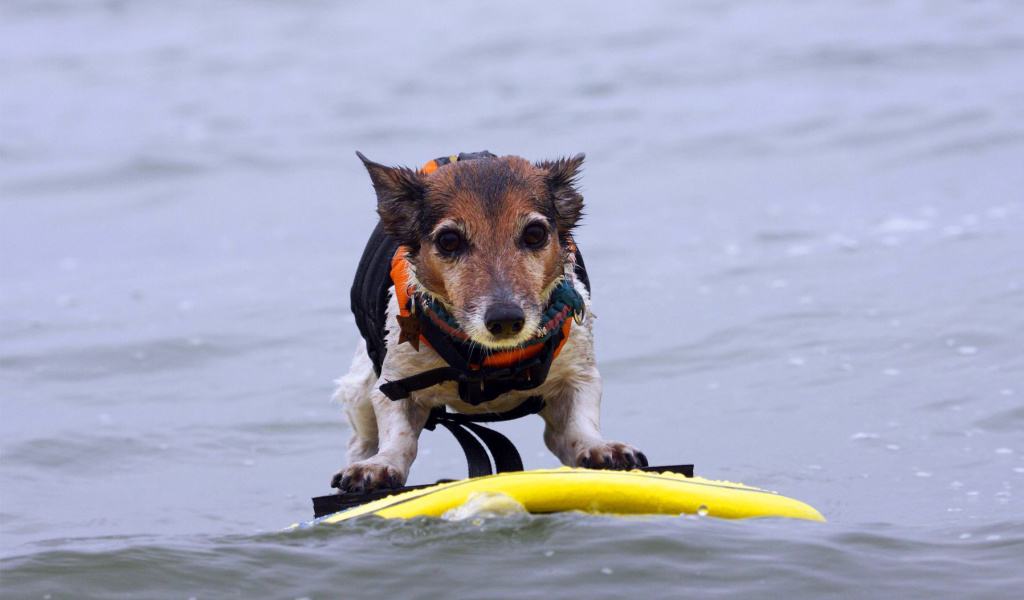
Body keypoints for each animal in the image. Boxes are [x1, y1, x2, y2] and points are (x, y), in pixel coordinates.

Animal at [331, 150, 643, 491]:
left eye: (535, 234)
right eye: (449, 240)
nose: (505, 319)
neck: (492, 361)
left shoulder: (577, 374)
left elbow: (579, 424)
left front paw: (599, 446)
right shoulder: (395, 382)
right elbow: (397, 433)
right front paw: (380, 464)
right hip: (360, 388)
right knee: (361, 438)